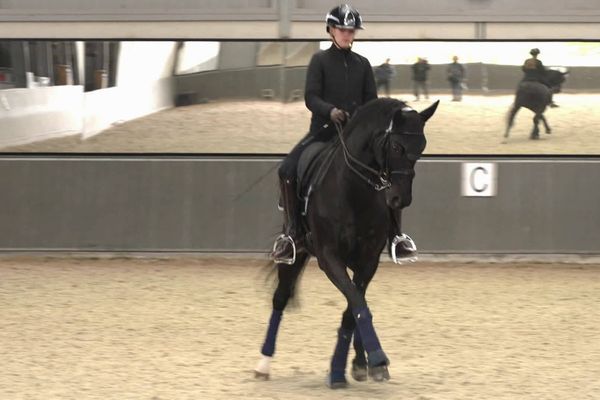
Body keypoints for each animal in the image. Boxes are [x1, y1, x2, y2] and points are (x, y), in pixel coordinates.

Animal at [253, 97, 436, 388]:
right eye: (396, 146)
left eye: (422, 148)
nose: (400, 200)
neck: (353, 191)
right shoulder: (329, 258)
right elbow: (356, 303)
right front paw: (366, 359)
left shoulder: (368, 260)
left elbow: (354, 308)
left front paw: (353, 365)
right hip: (295, 253)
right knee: (280, 297)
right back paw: (263, 364)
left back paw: (362, 364)